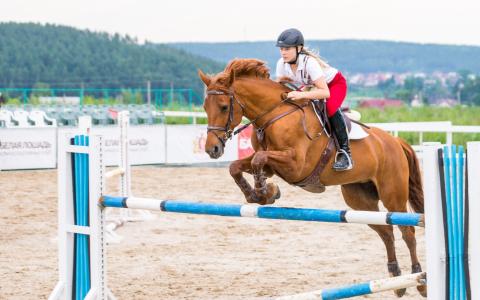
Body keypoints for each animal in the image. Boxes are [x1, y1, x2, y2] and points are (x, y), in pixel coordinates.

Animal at [197, 58, 426, 298]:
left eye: (224, 106)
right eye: (205, 107)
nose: (212, 149)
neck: (273, 115)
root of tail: (395, 142)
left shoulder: (296, 165)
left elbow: (259, 159)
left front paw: (263, 192)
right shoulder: (271, 166)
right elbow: (237, 166)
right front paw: (261, 194)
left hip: (393, 195)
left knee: (407, 231)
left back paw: (419, 281)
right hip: (359, 199)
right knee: (386, 231)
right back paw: (397, 280)